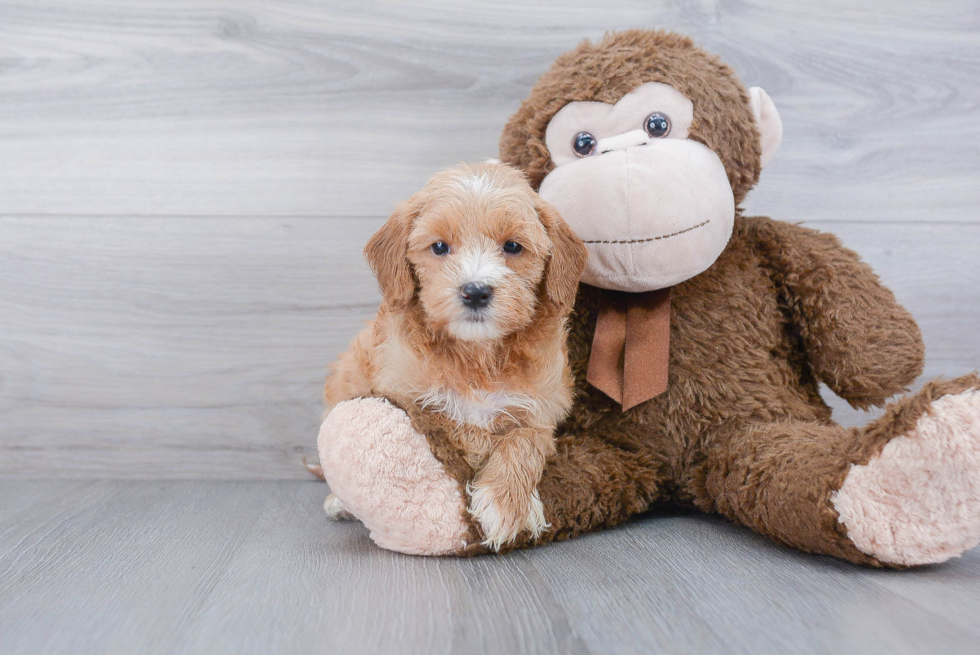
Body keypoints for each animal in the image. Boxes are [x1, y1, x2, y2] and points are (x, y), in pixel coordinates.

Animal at [328, 161, 588, 552]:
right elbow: (458, 429)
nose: (476, 291)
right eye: (439, 247)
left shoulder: (542, 407)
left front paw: (505, 503)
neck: (478, 354)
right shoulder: (406, 394)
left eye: (513, 246)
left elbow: (523, 439)